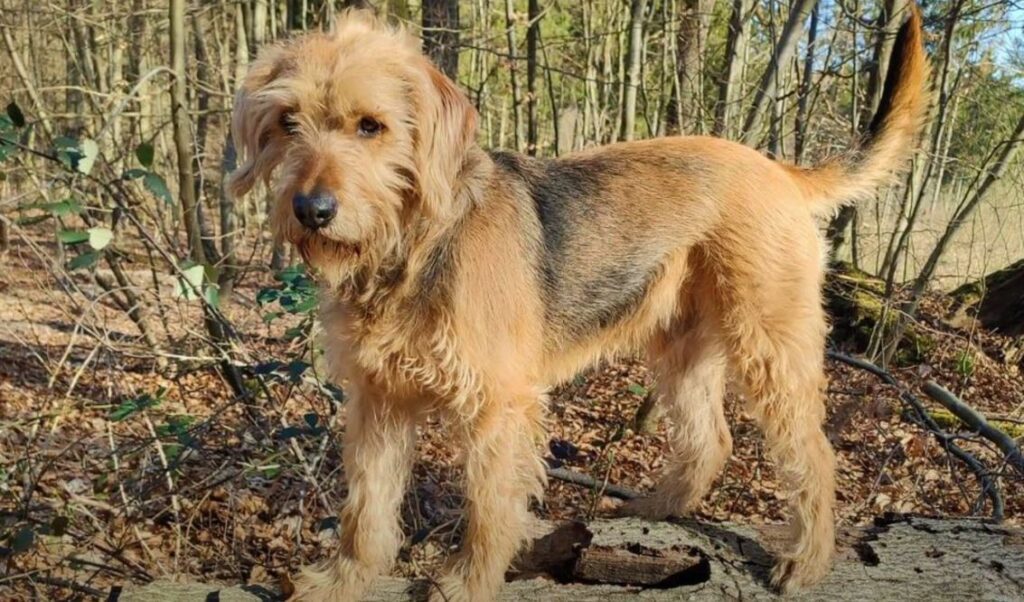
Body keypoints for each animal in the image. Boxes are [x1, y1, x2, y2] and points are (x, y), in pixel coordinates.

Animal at [228, 7, 933, 597]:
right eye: (288, 122)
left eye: (370, 126)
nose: (312, 211)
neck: (410, 246)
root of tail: (779, 169)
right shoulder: (377, 401)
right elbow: (366, 507)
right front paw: (344, 579)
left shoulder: (498, 406)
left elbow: (488, 508)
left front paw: (467, 583)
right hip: (682, 349)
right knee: (712, 438)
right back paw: (656, 509)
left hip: (770, 345)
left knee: (814, 454)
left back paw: (807, 560)